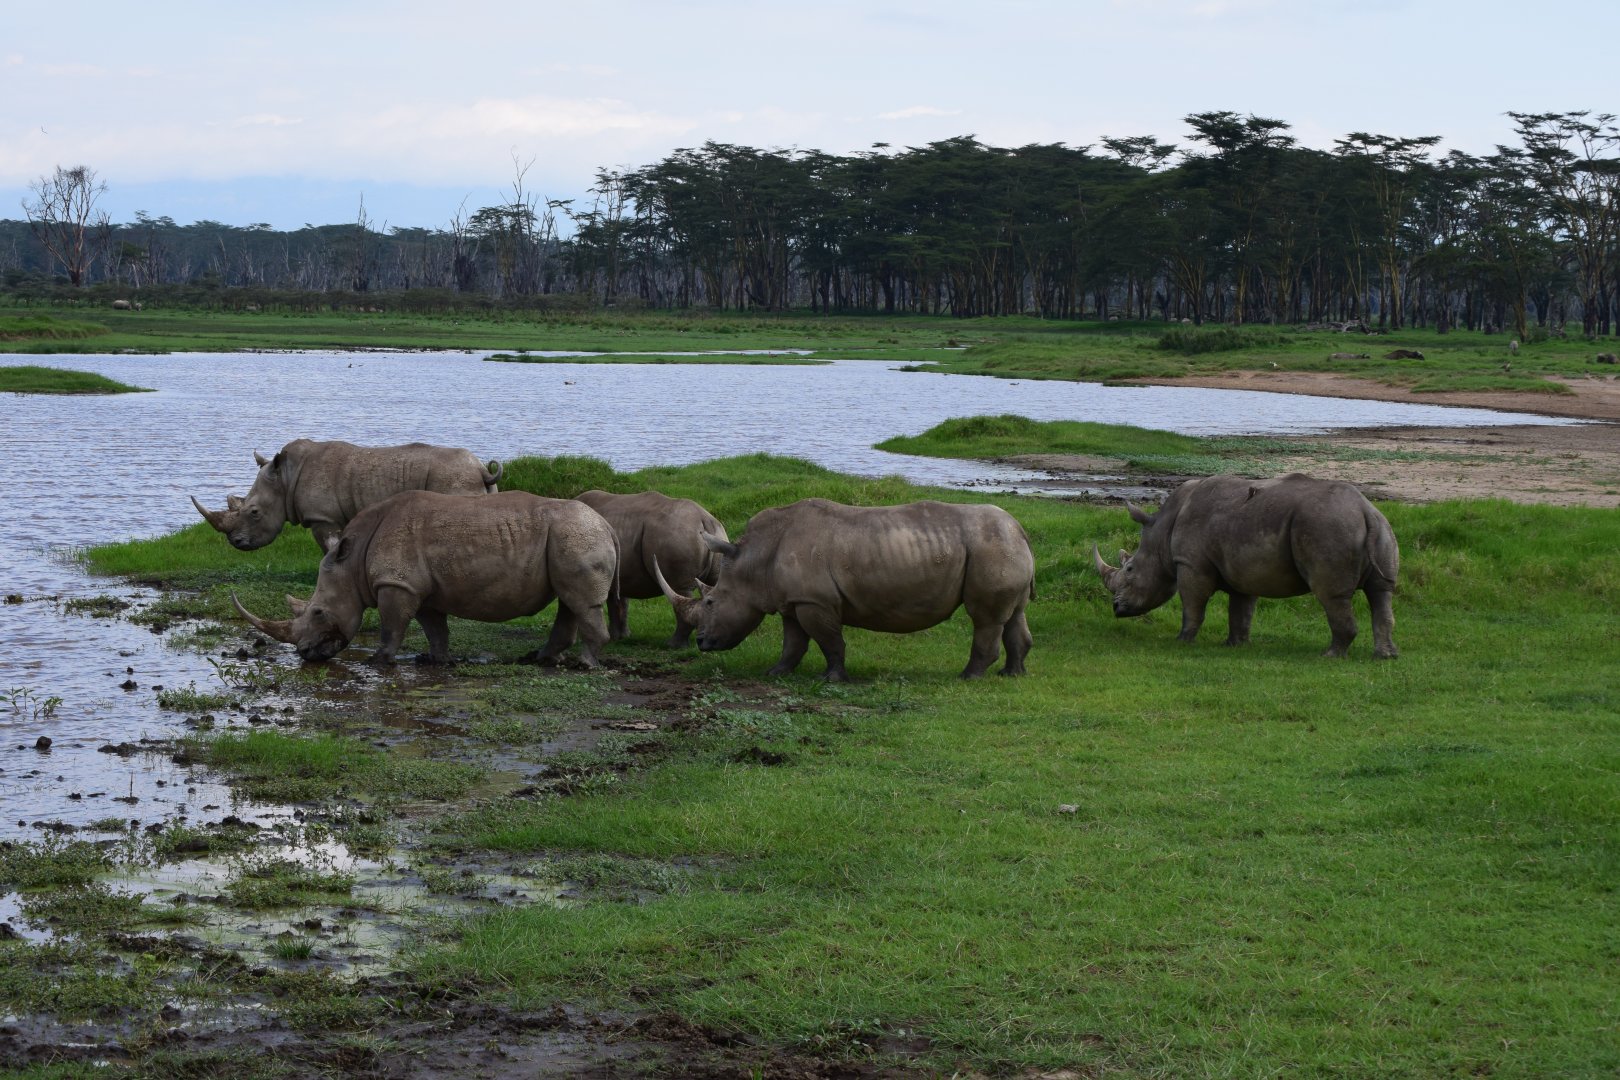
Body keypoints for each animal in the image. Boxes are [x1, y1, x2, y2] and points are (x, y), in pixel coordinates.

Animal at [192, 439, 502, 551]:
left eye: (254, 512)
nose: (235, 543)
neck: (285, 479)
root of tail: (480, 468)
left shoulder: (323, 517)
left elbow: (328, 546)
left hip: (453, 477)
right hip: (470, 479)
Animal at [232, 490, 618, 667]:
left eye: (318, 612)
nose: (306, 653)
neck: (351, 563)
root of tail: (607, 524)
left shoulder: (396, 583)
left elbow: (391, 627)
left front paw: (378, 660)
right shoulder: (418, 587)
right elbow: (434, 627)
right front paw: (435, 660)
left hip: (576, 536)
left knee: (580, 601)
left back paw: (584, 664)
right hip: (571, 537)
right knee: (570, 600)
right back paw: (540, 659)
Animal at [573, 489, 729, 646]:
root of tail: (705, 520)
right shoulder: (621, 573)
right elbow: (620, 602)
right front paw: (621, 637)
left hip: (676, 535)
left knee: (680, 589)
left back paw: (672, 645)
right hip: (716, 536)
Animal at [655, 498, 1035, 681]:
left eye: (710, 602)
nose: (701, 643)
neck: (752, 560)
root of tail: (1020, 528)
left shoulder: (815, 602)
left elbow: (829, 641)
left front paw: (832, 679)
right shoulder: (794, 600)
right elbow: (793, 642)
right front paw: (776, 673)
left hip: (991, 547)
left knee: (985, 618)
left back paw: (968, 677)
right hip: (1002, 547)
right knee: (1014, 614)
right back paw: (1011, 674)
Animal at [1091, 473, 1399, 658]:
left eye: (1130, 570)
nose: (1116, 609)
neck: (1161, 532)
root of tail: (1364, 509)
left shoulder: (1191, 564)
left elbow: (1193, 605)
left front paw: (1182, 641)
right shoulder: (1245, 566)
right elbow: (1241, 610)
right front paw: (1235, 645)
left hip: (1328, 526)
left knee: (1331, 595)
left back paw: (1330, 656)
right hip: (1378, 527)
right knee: (1381, 592)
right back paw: (1384, 656)